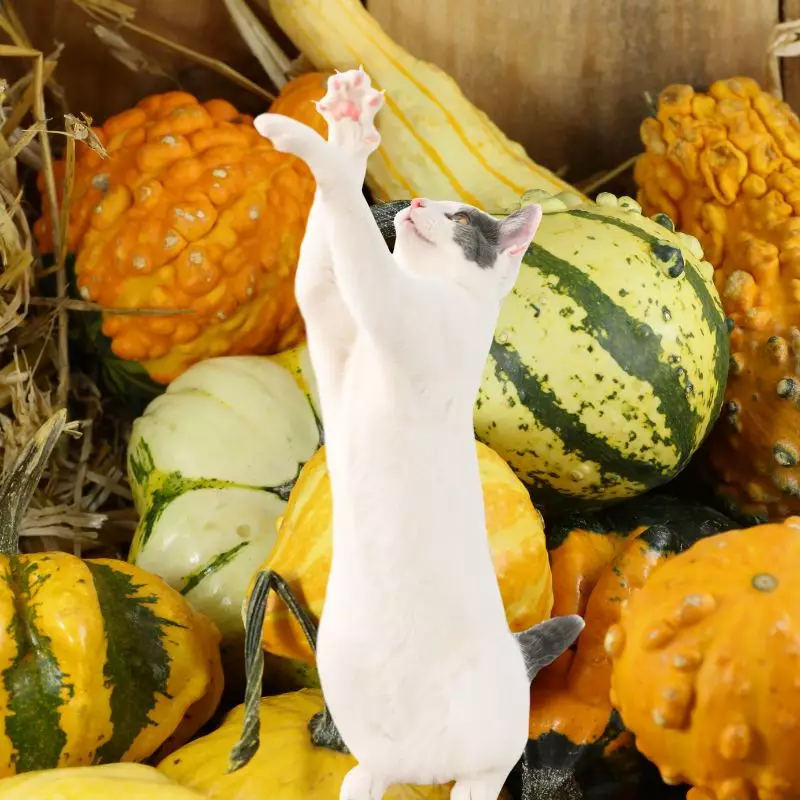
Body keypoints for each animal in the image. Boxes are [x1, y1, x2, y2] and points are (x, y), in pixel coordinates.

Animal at [253, 70, 584, 800]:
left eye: (462, 219)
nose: (421, 202)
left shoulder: (389, 306)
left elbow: (350, 228)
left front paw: (322, 140)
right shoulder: (328, 315)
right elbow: (318, 258)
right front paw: (344, 129)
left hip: (487, 762)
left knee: (478, 784)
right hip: (371, 745)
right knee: (368, 776)